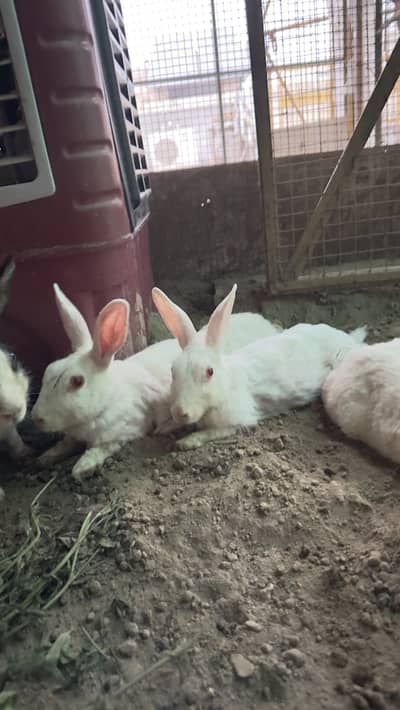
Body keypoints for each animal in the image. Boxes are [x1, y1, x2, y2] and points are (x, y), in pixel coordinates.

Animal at [31, 285, 279, 480]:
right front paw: (44, 458)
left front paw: (82, 467)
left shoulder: (126, 431)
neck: (109, 396)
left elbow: (101, 448)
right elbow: (65, 443)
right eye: (48, 371)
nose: (36, 418)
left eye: (77, 381)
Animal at [152, 283, 367, 450]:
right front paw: (163, 427)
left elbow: (213, 432)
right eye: (173, 370)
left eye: (209, 371)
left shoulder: (239, 420)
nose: (180, 412)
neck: (226, 384)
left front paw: (185, 442)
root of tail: (348, 338)